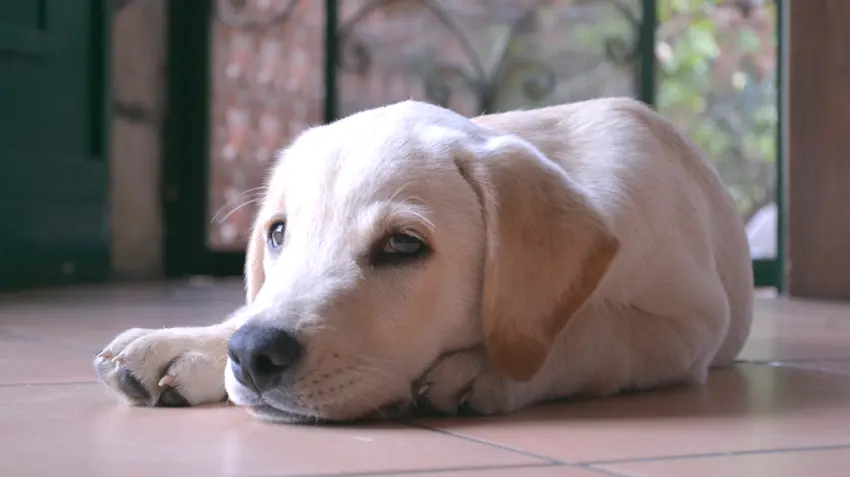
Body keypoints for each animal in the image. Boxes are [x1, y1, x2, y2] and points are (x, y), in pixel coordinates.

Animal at [93, 98, 752, 422]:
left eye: (403, 245)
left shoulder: (689, 324)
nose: (254, 356)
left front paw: (485, 367)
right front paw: (190, 345)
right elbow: (247, 307)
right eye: (278, 234)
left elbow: (594, 332)